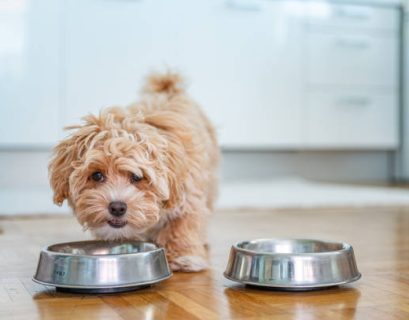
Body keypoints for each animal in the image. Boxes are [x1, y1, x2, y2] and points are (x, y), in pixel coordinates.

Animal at [49, 72, 218, 270]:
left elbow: (182, 225)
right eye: (97, 175)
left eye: (137, 177)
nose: (117, 207)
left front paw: (181, 256)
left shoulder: (188, 196)